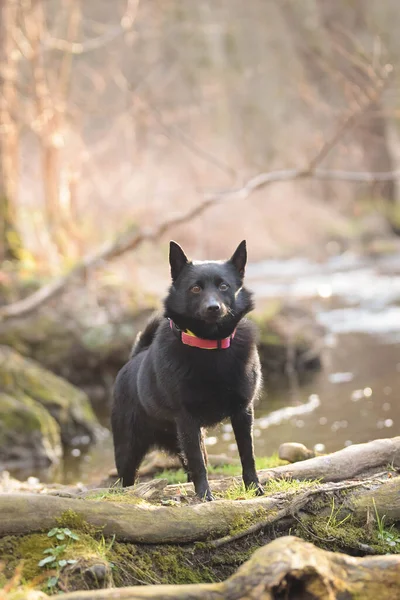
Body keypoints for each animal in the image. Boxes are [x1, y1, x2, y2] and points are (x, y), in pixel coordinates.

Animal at [111, 241, 264, 500]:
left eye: (224, 286)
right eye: (195, 288)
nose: (213, 308)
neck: (210, 348)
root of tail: (134, 358)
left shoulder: (243, 412)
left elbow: (248, 455)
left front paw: (254, 488)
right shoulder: (187, 420)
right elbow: (198, 463)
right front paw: (204, 497)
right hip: (128, 449)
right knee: (126, 479)